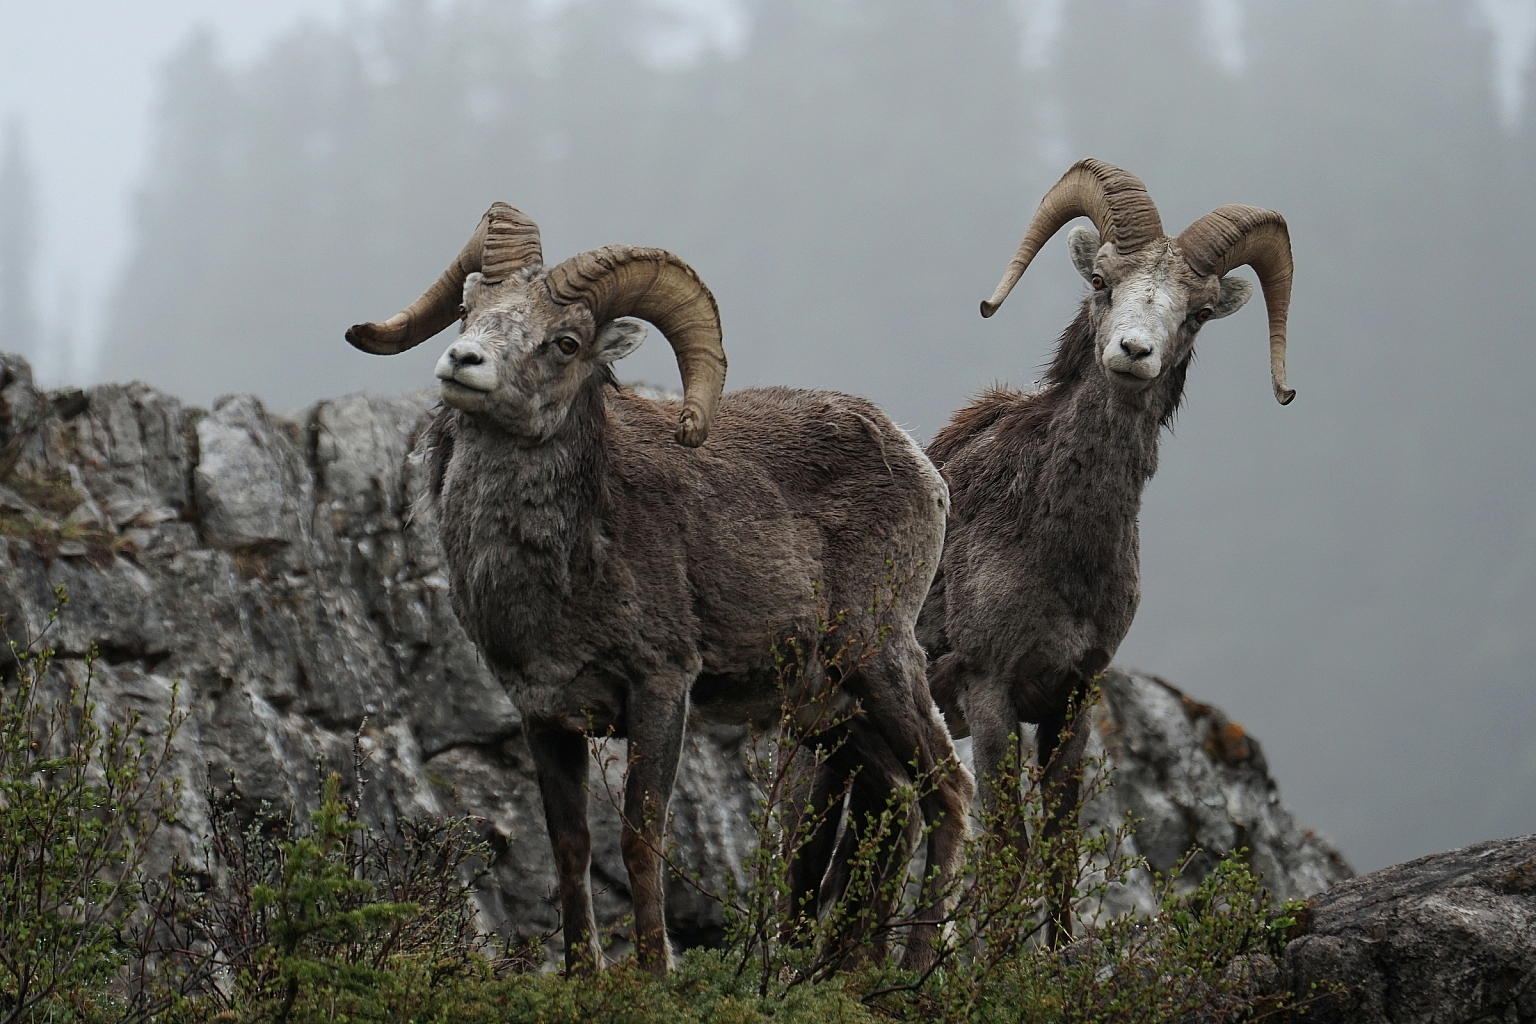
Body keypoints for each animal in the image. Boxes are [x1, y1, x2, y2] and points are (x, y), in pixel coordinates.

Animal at [345, 204, 973, 975]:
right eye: (470, 309)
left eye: (565, 341)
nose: (463, 362)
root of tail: (921, 464)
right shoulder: (545, 715)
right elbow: (570, 847)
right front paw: (584, 974)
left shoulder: (661, 689)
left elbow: (641, 839)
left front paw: (652, 972)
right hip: (836, 713)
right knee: (899, 801)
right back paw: (841, 972)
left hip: (877, 660)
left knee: (949, 793)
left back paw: (912, 967)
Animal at [917, 159, 1295, 944]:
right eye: (1103, 281)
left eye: (1196, 312)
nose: (1133, 353)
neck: (1061, 556)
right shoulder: (991, 692)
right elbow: (1010, 851)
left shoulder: (1073, 699)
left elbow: (1061, 855)